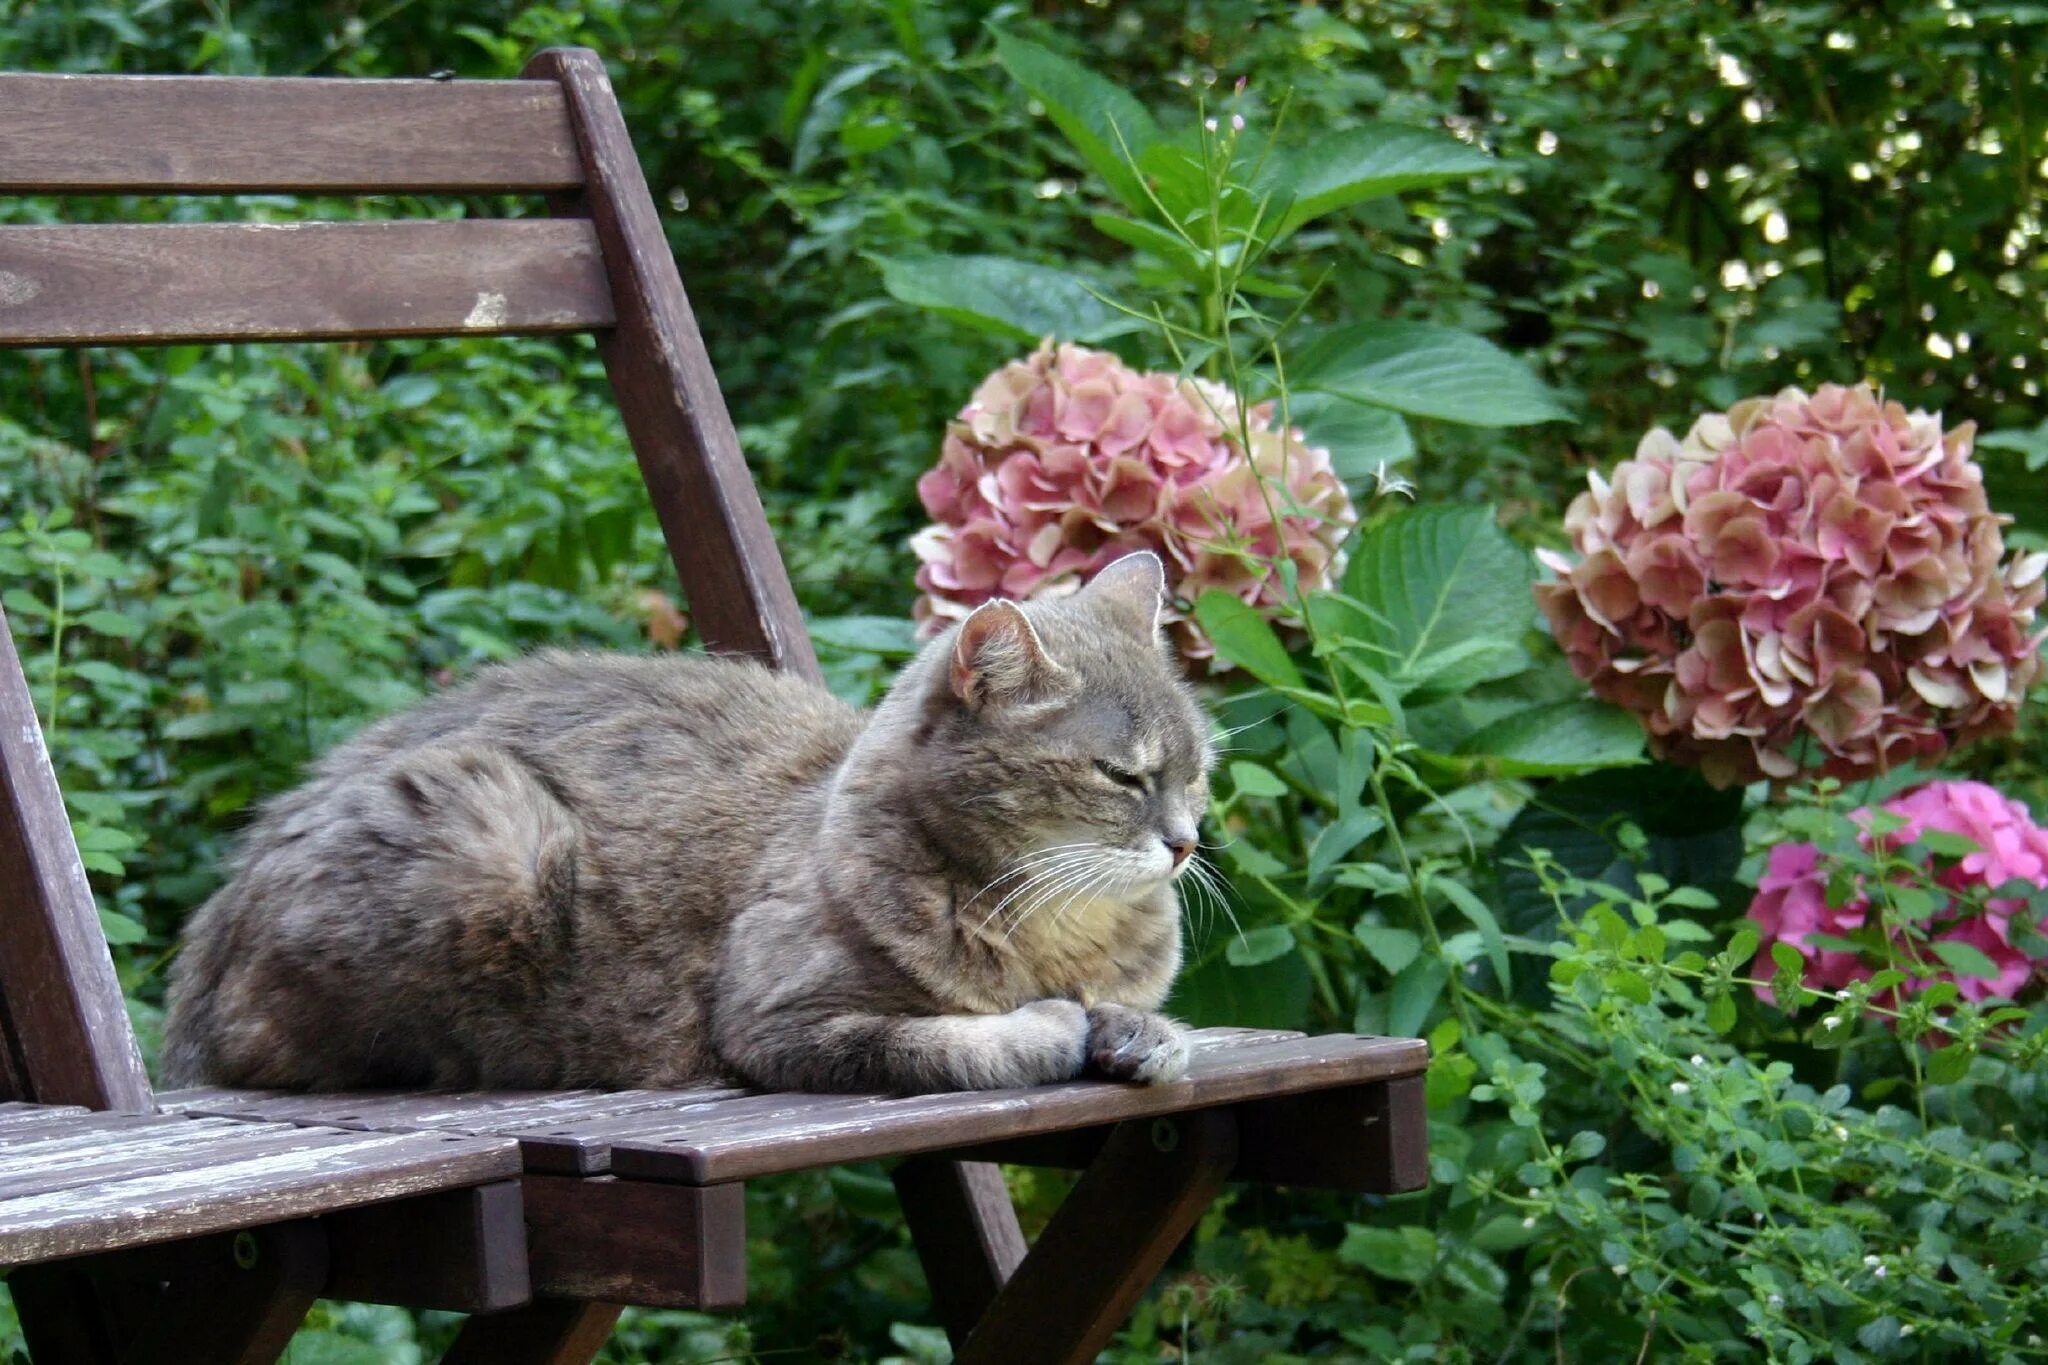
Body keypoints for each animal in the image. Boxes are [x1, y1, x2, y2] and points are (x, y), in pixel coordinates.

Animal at [167, 548, 1212, 1096]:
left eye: (1198, 773)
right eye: (1124, 775)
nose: (1186, 841)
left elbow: (1150, 1016)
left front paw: (1138, 1029)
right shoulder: (783, 1023)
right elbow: (956, 1040)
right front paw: (1056, 1023)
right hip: (492, 839)